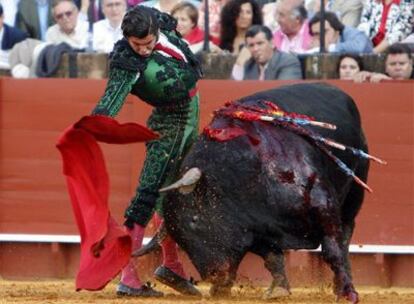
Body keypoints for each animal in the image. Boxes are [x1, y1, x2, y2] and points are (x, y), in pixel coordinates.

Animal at [141, 82, 376, 302]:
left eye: (194, 220)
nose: (214, 276)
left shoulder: (323, 205)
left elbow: (332, 250)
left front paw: (347, 293)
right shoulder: (256, 228)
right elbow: (272, 258)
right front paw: (278, 289)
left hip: (354, 194)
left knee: (345, 238)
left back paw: (343, 286)